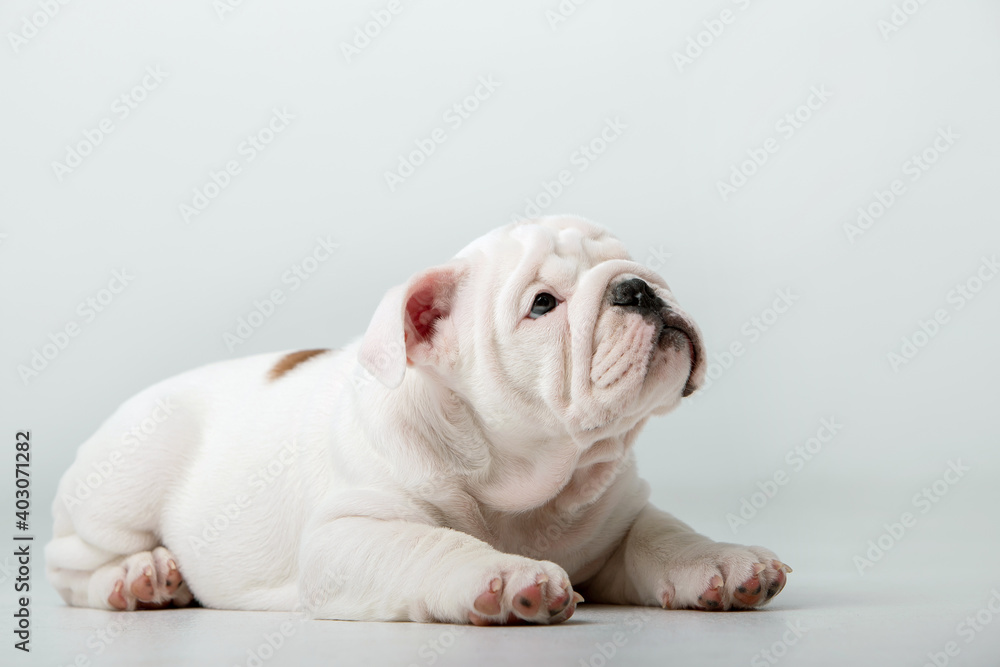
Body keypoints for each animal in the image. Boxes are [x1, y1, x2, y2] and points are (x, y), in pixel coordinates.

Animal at [48, 217, 788, 624]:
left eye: (634, 265)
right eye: (542, 304)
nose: (638, 289)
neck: (530, 476)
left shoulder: (622, 518)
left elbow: (664, 535)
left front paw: (722, 561)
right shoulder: (351, 533)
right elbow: (434, 546)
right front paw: (507, 576)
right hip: (133, 467)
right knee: (72, 563)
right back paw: (139, 576)